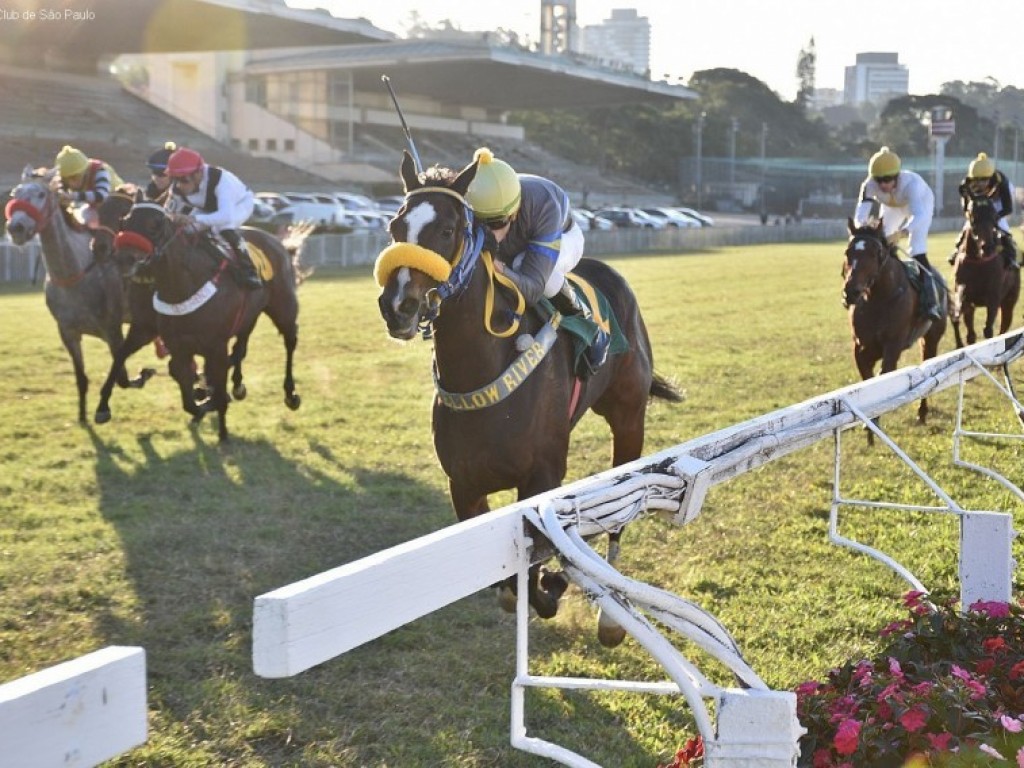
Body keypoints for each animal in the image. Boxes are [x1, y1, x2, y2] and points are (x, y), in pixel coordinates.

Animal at [3, 165, 153, 428]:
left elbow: (122, 376)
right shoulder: (68, 333)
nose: (16, 228)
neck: (74, 275)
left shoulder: (112, 330)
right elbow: (82, 377)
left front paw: (139, 377)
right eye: (15, 193)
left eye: (41, 194)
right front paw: (82, 417)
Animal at [113, 202, 303, 444]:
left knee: (289, 341)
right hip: (248, 316)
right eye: (125, 221)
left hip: (284, 309)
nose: (124, 259)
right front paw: (203, 404)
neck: (183, 287)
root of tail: (278, 243)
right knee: (240, 348)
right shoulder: (179, 347)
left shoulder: (215, 346)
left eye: (155, 225)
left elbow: (215, 385)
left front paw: (222, 431)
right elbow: (188, 397)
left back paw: (290, 394)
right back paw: (236, 386)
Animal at [374, 151, 679, 651]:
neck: (482, 370)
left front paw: (554, 586)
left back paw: (610, 619)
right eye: (396, 225)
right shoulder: (464, 486)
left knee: (622, 509)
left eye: (448, 230)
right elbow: (508, 585)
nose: (398, 304)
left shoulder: (541, 476)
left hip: (629, 417)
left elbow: (532, 573)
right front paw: (548, 584)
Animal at [843, 219, 946, 442]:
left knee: (928, 366)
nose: (851, 291)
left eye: (875, 253)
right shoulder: (861, 347)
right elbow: (868, 379)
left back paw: (922, 412)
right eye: (848, 252)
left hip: (931, 338)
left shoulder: (892, 346)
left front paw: (874, 424)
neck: (879, 298)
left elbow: (883, 376)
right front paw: (870, 425)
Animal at [950, 193, 1015, 348]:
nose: (988, 248)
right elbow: (969, 333)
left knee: (1003, 329)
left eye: (994, 217)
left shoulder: (993, 298)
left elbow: (988, 330)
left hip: (1009, 302)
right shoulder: (965, 296)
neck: (978, 262)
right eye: (973, 218)